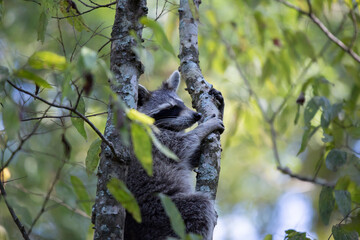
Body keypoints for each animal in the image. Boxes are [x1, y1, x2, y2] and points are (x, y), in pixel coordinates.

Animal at [125, 70, 224, 239]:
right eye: (171, 108)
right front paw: (205, 127)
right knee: (200, 206)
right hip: (161, 211)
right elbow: (181, 146)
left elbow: (190, 158)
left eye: (183, 104)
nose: (197, 116)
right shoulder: (152, 140)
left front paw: (220, 109)